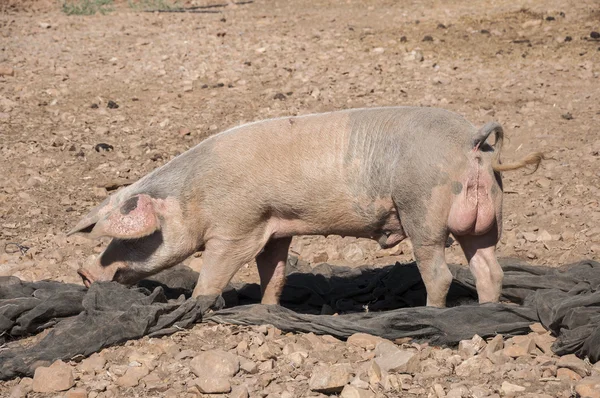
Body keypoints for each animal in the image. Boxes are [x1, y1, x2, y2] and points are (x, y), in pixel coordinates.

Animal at [69, 107, 544, 310]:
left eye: (134, 237)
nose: (84, 271)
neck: (195, 195)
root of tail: (472, 141)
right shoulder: (274, 228)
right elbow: (274, 273)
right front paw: (267, 310)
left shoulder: (236, 227)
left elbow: (214, 273)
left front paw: (199, 306)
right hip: (487, 219)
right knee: (489, 268)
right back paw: (485, 312)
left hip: (422, 211)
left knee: (441, 273)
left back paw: (429, 315)